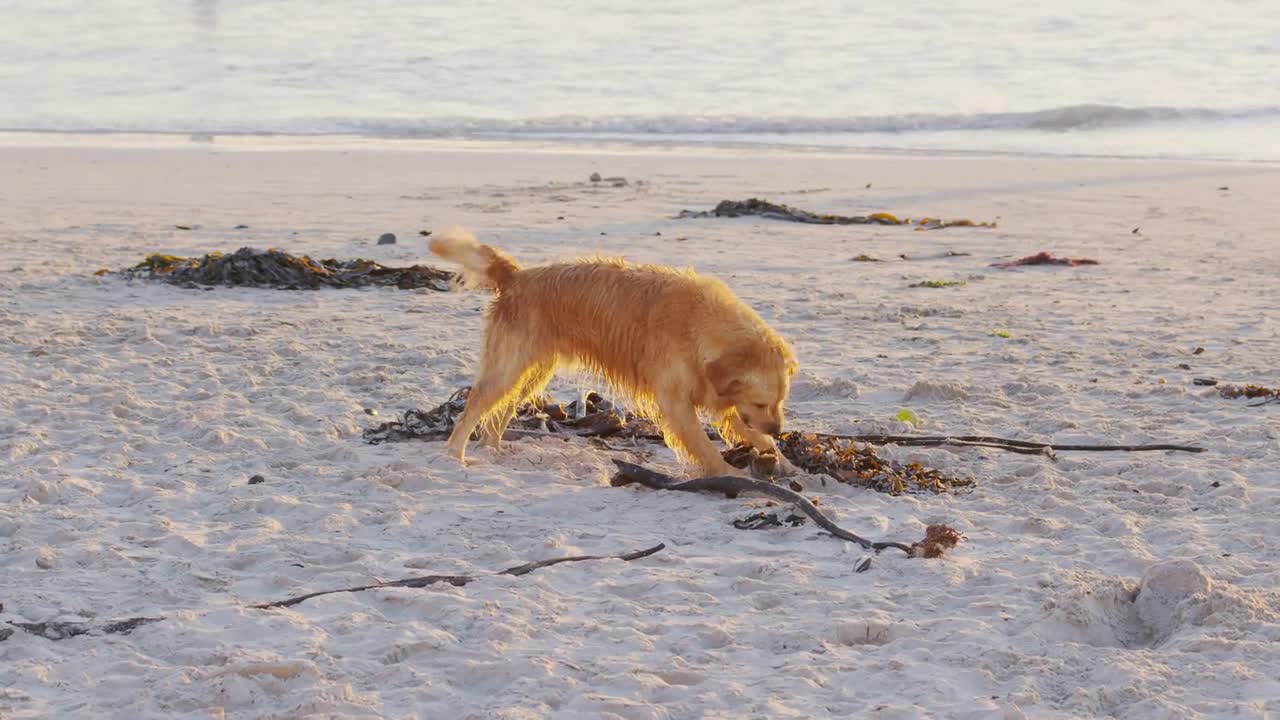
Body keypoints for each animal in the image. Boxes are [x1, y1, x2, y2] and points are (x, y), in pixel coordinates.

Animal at [430, 226, 798, 474]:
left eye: (780, 402)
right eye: (762, 402)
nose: (779, 430)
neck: (700, 324)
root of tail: (516, 276)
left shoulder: (720, 396)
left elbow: (747, 431)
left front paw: (784, 462)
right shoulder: (676, 402)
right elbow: (703, 446)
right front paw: (728, 473)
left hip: (532, 372)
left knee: (499, 413)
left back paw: (494, 451)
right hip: (508, 367)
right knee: (473, 409)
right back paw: (456, 455)